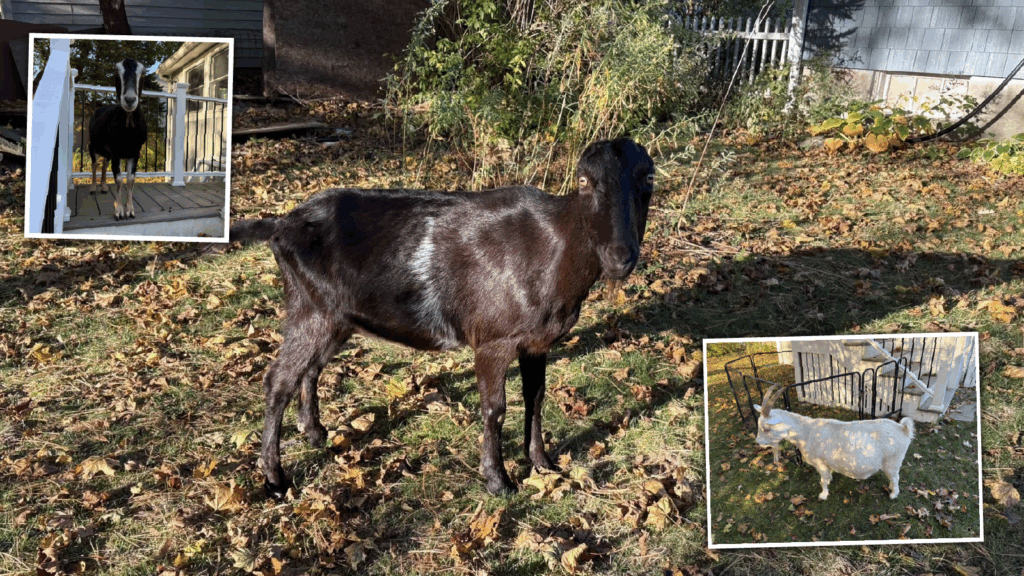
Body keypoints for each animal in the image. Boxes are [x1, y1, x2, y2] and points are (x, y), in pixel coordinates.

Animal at [88, 58, 148, 220]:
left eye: (143, 73)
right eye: (115, 72)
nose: (129, 99)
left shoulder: (135, 152)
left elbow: (130, 179)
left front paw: (130, 210)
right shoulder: (116, 152)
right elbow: (119, 180)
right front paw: (119, 211)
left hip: (107, 152)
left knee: (103, 165)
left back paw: (103, 187)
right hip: (92, 146)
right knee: (95, 164)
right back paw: (93, 188)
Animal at [229, 138, 655, 499]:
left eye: (648, 178)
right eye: (584, 181)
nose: (620, 256)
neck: (554, 248)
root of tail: (281, 225)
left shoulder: (536, 343)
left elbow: (535, 398)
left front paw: (543, 463)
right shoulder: (493, 339)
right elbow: (495, 409)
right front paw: (498, 481)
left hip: (334, 316)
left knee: (311, 369)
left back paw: (314, 431)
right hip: (310, 308)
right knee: (278, 381)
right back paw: (275, 478)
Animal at [753, 384, 914, 501]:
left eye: (766, 428)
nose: (758, 442)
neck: (807, 432)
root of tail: (903, 429)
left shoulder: (820, 463)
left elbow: (823, 480)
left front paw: (823, 495)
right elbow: (827, 477)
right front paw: (830, 481)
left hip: (892, 462)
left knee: (896, 477)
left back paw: (893, 494)